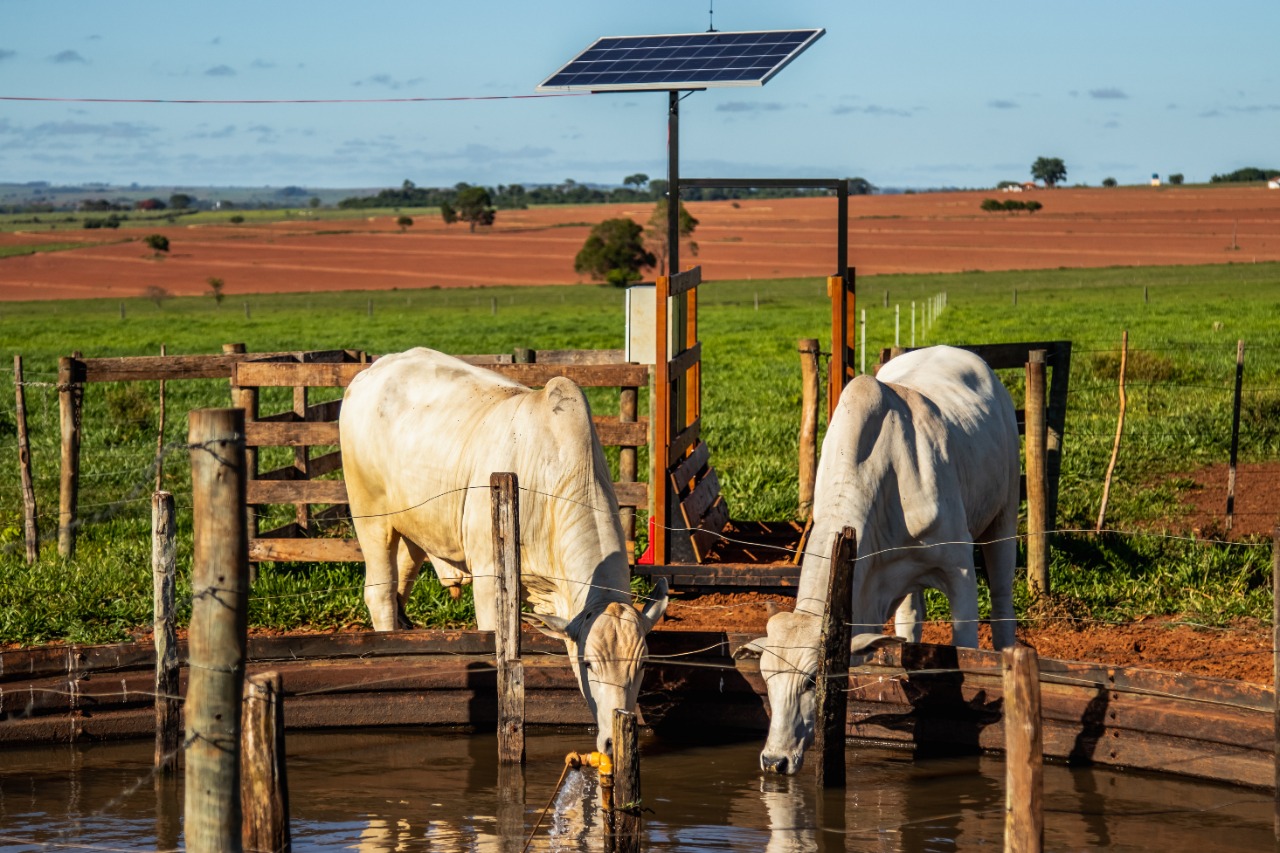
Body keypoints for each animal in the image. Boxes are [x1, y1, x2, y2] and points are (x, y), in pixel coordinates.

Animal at [340, 348, 670, 753]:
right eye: (589, 664)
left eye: (642, 665)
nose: (613, 742)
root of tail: (373, 370)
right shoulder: (487, 577)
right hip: (371, 517)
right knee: (381, 593)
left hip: (413, 527)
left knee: (401, 583)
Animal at [742, 343, 1018, 768]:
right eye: (767, 676)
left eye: (812, 680)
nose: (775, 759)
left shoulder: (958, 568)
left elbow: (967, 646)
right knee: (911, 618)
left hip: (1004, 515)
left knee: (1003, 597)